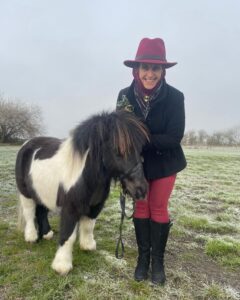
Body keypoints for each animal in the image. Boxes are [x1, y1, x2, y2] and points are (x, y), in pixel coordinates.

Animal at [15, 110, 148, 274]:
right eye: (118, 151)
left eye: (140, 149)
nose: (141, 190)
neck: (85, 175)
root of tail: (26, 145)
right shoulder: (70, 208)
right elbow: (68, 235)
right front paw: (62, 266)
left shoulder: (95, 206)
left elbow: (88, 226)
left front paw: (87, 246)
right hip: (25, 194)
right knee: (29, 213)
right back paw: (31, 237)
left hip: (42, 193)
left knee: (41, 211)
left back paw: (46, 234)